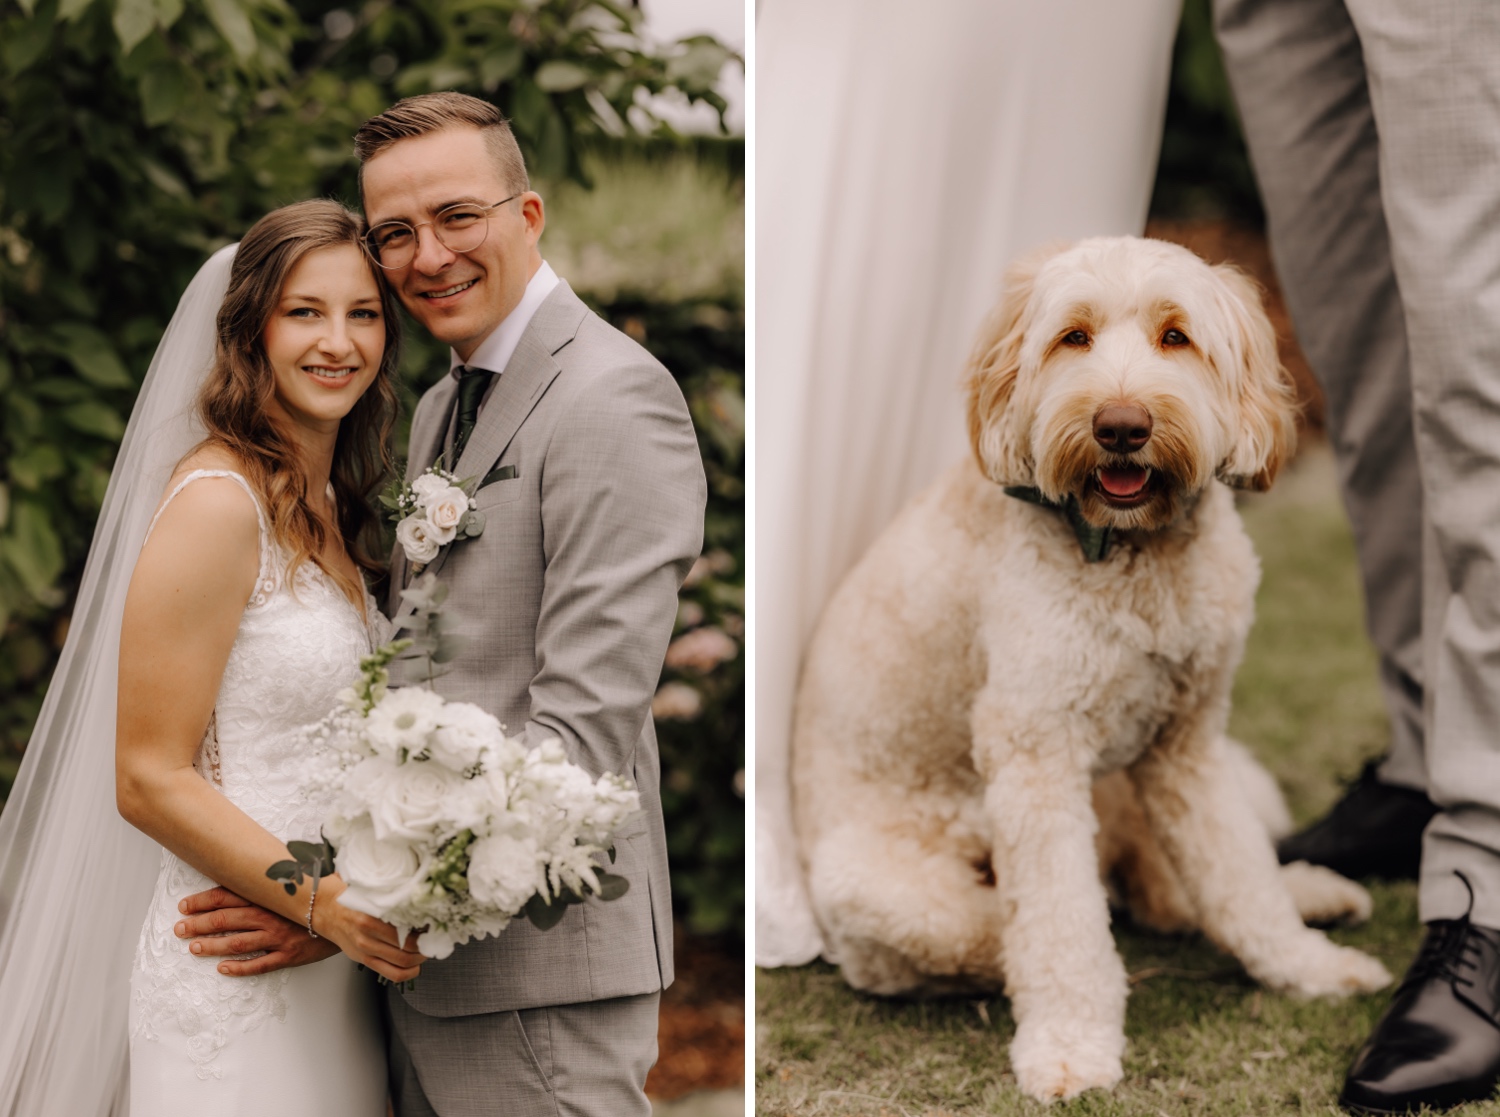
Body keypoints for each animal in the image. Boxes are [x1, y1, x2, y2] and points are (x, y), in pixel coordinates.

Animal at [798, 235, 1392, 1097]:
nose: (1120, 427)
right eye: (1071, 337)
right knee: (1017, 929)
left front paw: (1306, 965)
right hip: (881, 889)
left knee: (1166, 889)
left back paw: (1308, 890)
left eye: (1176, 337)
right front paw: (1071, 1045)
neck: (1134, 550)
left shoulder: (1189, 744)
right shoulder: (1035, 758)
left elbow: (1240, 873)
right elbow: (1060, 923)